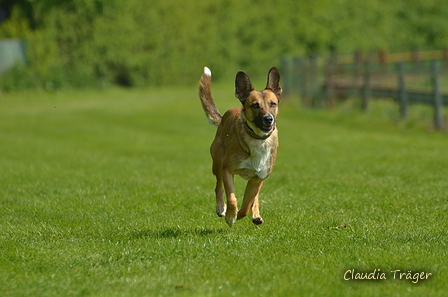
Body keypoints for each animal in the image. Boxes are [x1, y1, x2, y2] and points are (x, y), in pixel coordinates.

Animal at [199, 66, 282, 225]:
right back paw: (221, 209)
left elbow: (247, 205)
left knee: (254, 197)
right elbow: (231, 198)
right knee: (218, 187)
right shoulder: (227, 170)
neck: (258, 139)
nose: (268, 119)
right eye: (255, 105)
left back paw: (256, 215)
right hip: (217, 163)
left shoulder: (257, 179)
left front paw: (241, 213)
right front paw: (231, 216)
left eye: (273, 104)